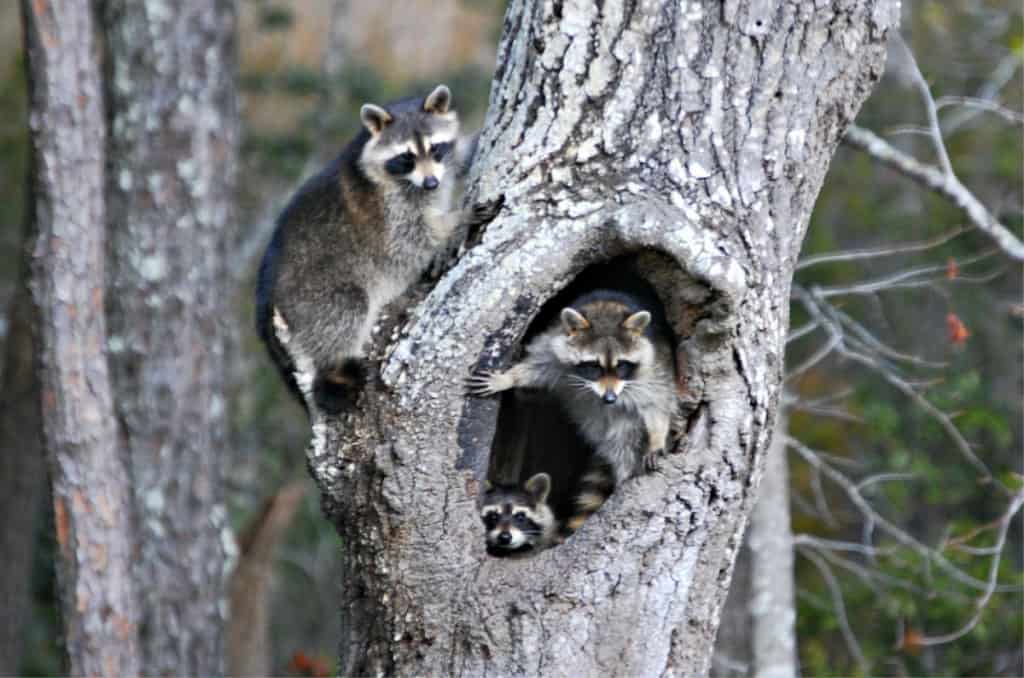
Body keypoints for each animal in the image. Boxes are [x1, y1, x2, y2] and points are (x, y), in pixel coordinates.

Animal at [258, 85, 501, 413]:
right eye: (406, 157)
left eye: (435, 149)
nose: (431, 183)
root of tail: (264, 295)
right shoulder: (386, 208)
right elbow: (411, 239)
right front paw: (455, 220)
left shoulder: (443, 165)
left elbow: (461, 155)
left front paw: (470, 145)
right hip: (311, 292)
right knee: (344, 314)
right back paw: (334, 373)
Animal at [468, 290, 679, 489]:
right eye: (594, 366)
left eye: (621, 366)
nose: (610, 398)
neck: (607, 307)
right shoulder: (555, 343)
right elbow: (536, 367)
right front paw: (508, 378)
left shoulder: (652, 365)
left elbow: (657, 400)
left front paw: (657, 439)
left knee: (625, 441)